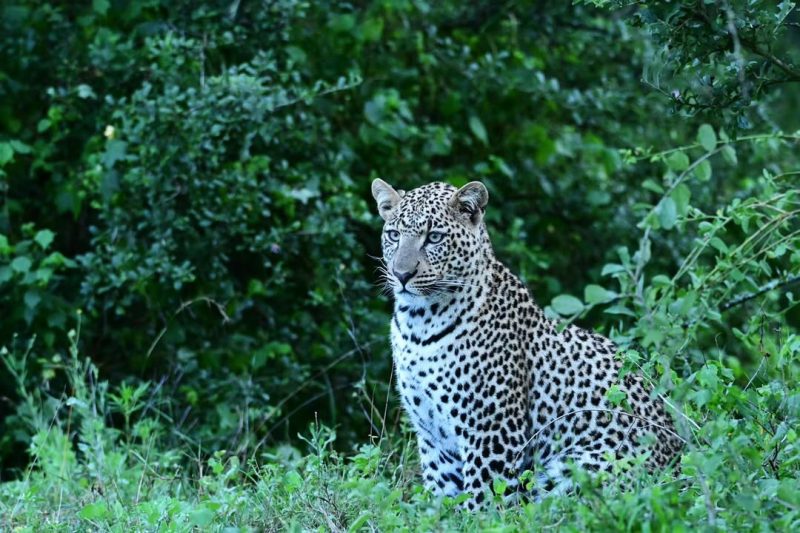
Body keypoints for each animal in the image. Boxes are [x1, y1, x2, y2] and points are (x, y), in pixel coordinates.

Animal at [371, 178, 683, 509]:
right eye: (393, 235)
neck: (417, 325)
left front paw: (474, 515)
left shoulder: (492, 430)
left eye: (434, 237)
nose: (401, 274)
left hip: (582, 469)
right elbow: (440, 497)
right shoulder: (433, 438)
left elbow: (483, 499)